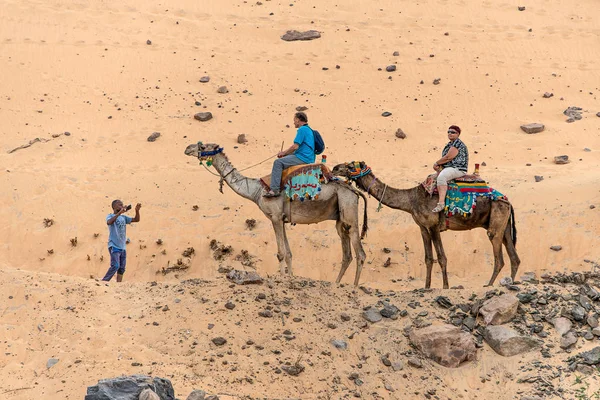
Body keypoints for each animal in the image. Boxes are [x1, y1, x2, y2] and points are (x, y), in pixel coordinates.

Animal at [185, 142, 368, 286]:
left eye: (202, 146)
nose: (187, 148)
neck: (256, 191)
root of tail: (354, 191)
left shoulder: (274, 217)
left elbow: (280, 254)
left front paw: (281, 279)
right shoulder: (282, 219)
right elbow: (288, 254)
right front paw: (290, 277)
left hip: (348, 209)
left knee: (360, 253)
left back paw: (354, 287)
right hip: (340, 219)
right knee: (347, 254)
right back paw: (336, 283)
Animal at [330, 161, 516, 290]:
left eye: (350, 165)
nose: (334, 168)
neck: (411, 199)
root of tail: (507, 201)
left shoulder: (433, 226)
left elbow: (441, 257)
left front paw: (445, 286)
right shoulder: (423, 228)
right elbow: (428, 258)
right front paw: (426, 286)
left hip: (496, 223)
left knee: (499, 257)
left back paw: (489, 284)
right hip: (505, 226)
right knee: (514, 257)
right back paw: (511, 283)